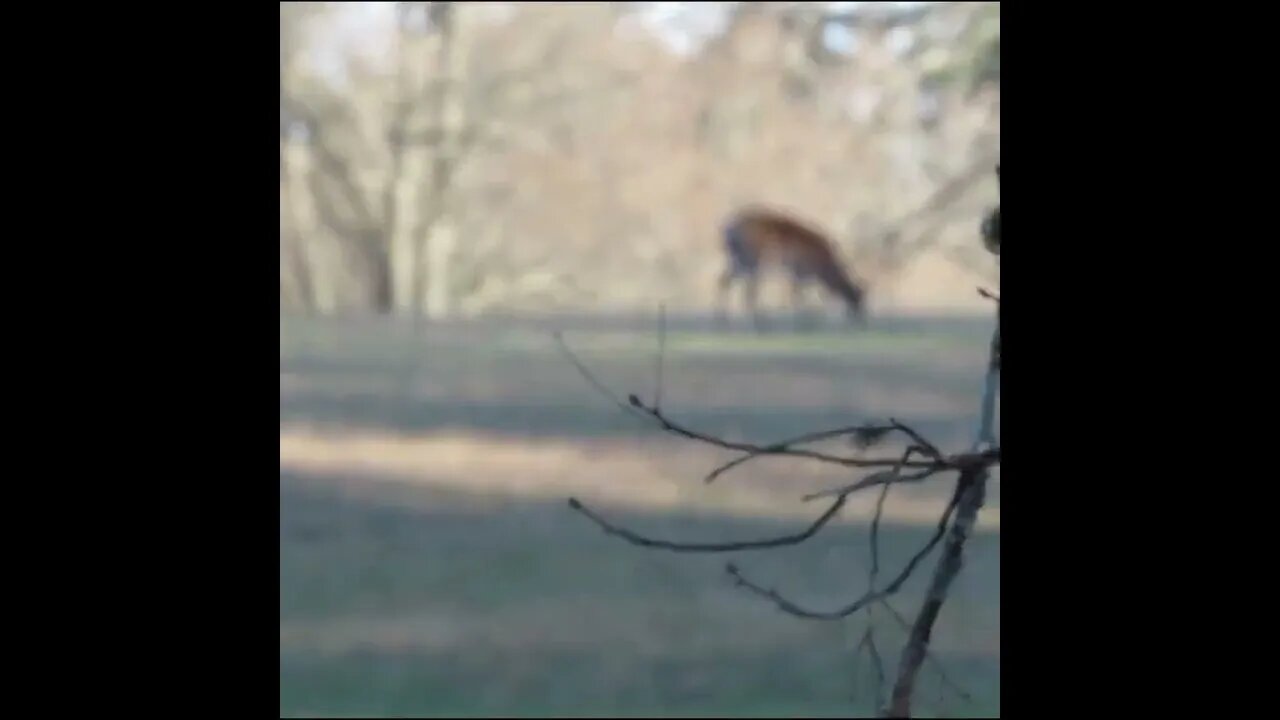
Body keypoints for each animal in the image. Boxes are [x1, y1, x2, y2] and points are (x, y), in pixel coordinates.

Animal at [711, 203, 870, 330]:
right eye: (858, 298)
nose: (861, 318)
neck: (825, 268)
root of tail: (727, 230)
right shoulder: (799, 271)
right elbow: (798, 298)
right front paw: (796, 323)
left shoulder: (801, 275)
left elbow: (805, 297)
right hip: (751, 260)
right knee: (749, 290)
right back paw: (752, 323)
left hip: (737, 261)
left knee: (723, 281)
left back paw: (724, 319)